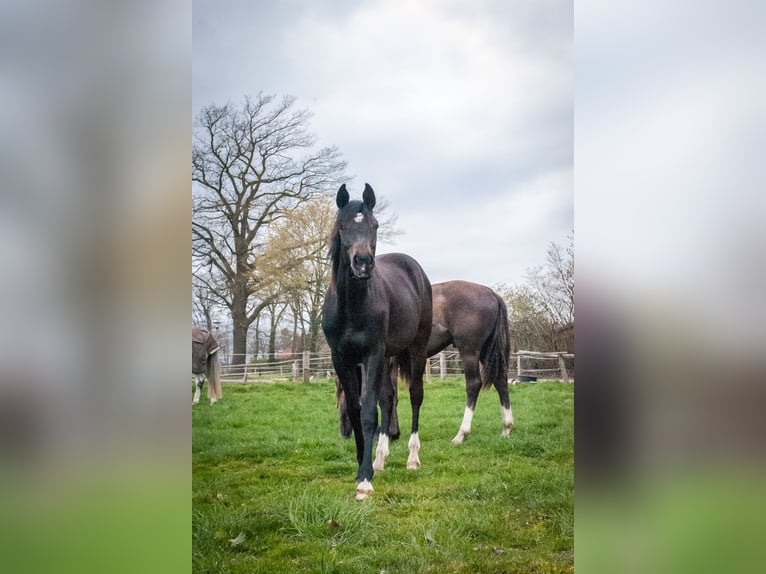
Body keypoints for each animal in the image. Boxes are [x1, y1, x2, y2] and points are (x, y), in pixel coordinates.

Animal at [322, 186, 436, 504]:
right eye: (343, 226)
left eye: (374, 225)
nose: (362, 263)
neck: (353, 306)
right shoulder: (342, 359)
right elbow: (355, 410)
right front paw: (364, 467)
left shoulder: (371, 354)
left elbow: (369, 413)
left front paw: (364, 481)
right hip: (389, 357)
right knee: (389, 399)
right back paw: (380, 458)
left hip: (415, 351)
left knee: (414, 396)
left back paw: (412, 458)